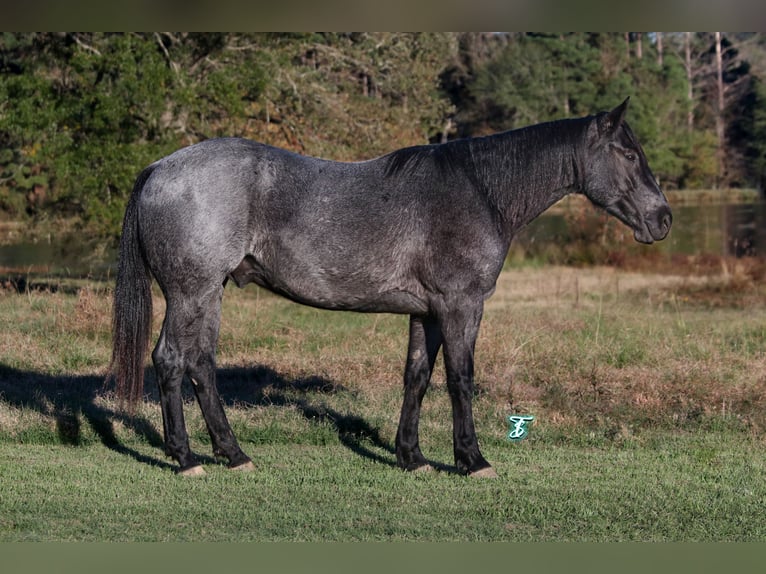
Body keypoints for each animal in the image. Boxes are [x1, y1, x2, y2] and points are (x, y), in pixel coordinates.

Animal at [108, 98, 672, 476]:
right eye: (627, 153)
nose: (663, 219)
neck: (481, 190)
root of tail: (160, 167)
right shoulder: (461, 306)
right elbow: (461, 379)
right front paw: (472, 459)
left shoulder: (426, 312)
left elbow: (417, 377)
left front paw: (412, 456)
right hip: (190, 292)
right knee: (171, 360)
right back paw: (185, 458)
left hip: (212, 292)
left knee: (201, 364)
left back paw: (234, 453)